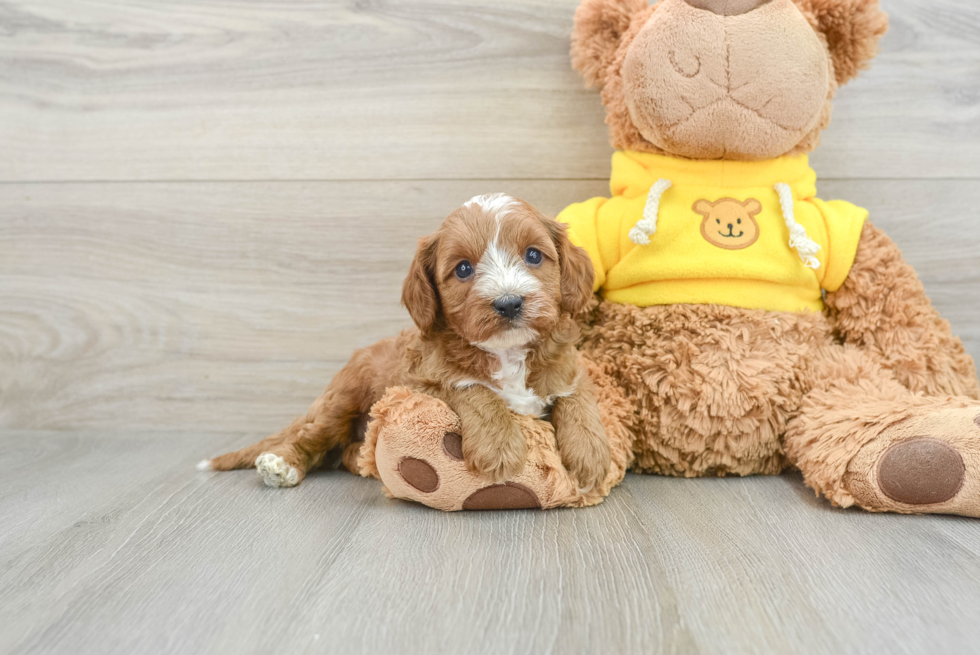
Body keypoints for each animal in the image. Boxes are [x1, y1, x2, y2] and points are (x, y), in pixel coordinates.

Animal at [202, 195, 608, 492]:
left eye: (534, 255)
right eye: (463, 268)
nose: (508, 303)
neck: (506, 351)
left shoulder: (567, 365)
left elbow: (577, 395)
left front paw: (590, 454)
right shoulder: (423, 381)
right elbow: (473, 388)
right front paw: (500, 446)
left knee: (344, 450)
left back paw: (361, 461)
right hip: (343, 397)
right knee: (312, 437)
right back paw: (283, 464)